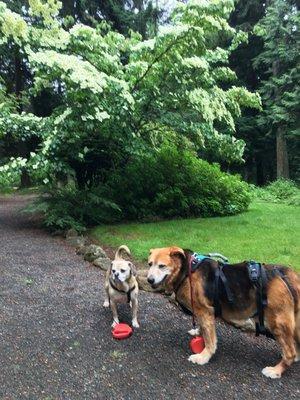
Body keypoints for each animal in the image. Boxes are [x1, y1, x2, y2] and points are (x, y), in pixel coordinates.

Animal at [147, 245, 300, 380]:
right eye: (149, 264)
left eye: (162, 266)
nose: (149, 280)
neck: (187, 270)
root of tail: (285, 274)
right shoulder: (203, 313)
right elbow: (203, 330)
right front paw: (198, 333)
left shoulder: (205, 312)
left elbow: (210, 340)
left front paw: (203, 356)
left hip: (277, 323)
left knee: (290, 353)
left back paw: (276, 370)